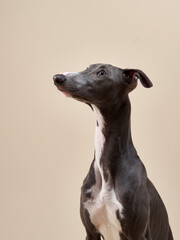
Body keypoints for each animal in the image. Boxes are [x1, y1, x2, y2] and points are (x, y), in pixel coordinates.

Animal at [53, 63, 173, 240]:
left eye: (102, 73)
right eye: (87, 67)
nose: (58, 77)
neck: (106, 171)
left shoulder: (137, 233)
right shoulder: (90, 232)